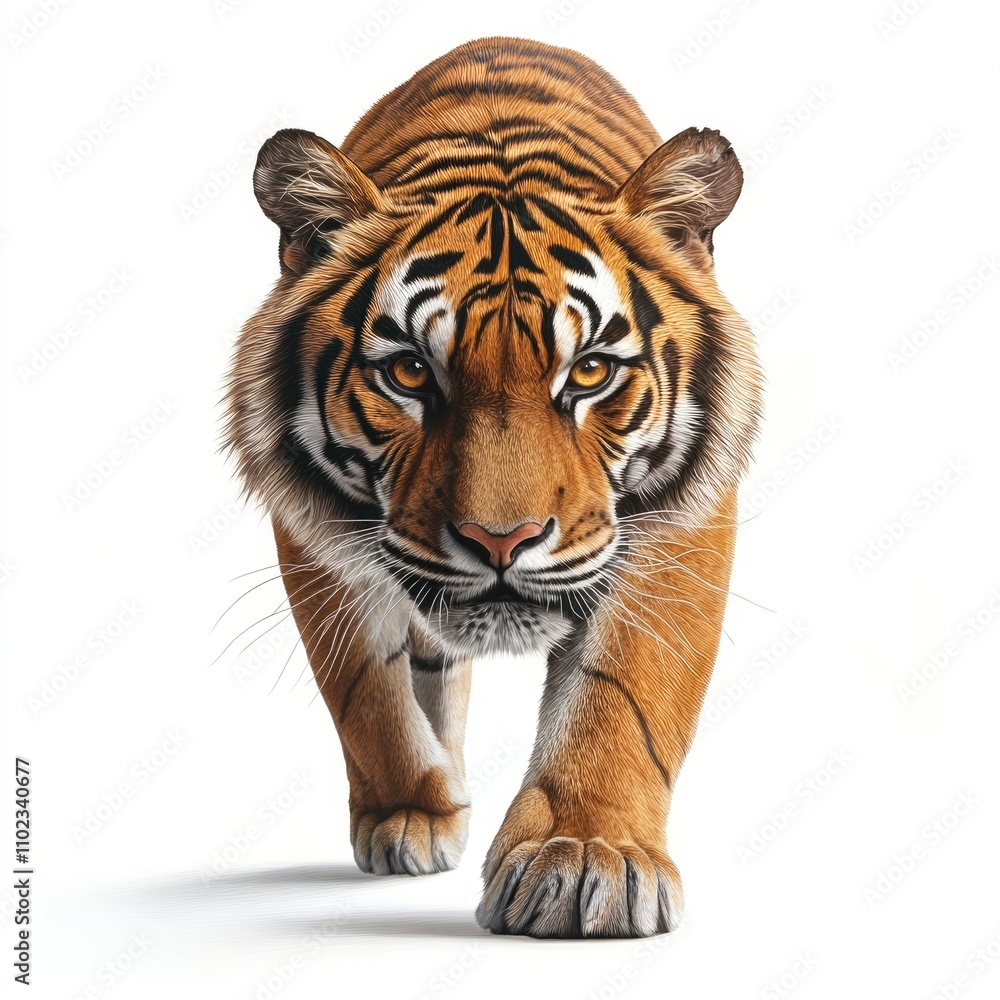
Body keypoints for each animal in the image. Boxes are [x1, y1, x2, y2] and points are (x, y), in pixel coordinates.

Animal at [225, 35, 762, 939]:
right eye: (410, 371)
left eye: (590, 372)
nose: (500, 540)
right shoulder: (314, 533)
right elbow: (367, 692)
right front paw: (413, 813)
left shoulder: (679, 522)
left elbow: (622, 694)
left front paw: (585, 858)